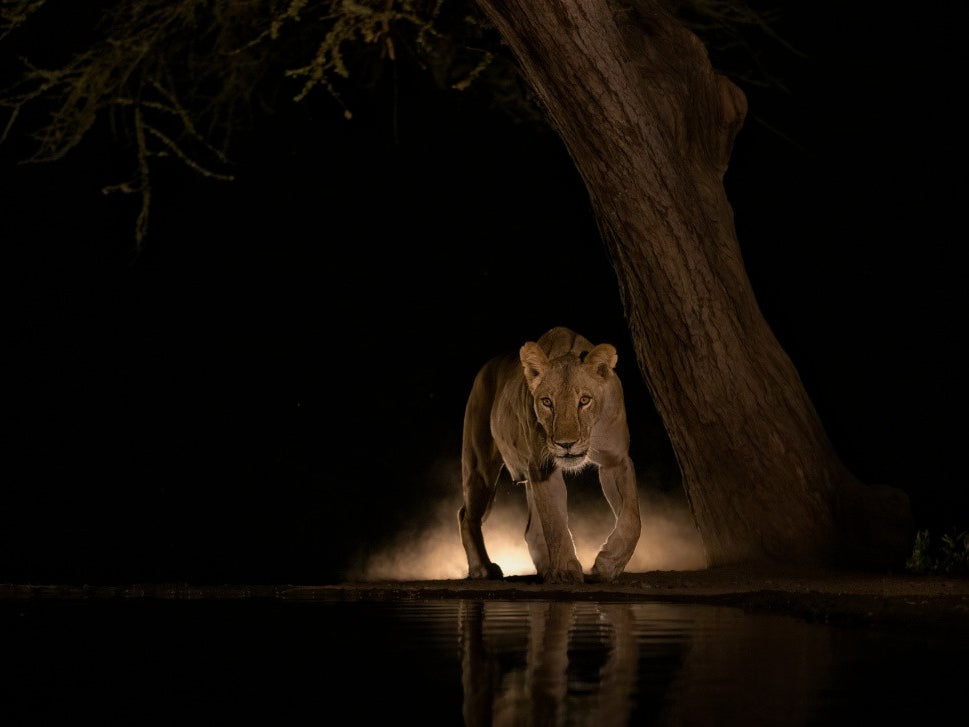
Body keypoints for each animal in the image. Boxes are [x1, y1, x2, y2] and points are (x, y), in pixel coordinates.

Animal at [458, 326, 641, 584]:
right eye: (547, 402)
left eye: (584, 400)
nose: (566, 444)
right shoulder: (542, 466)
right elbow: (555, 522)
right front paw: (565, 572)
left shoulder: (616, 461)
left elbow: (633, 519)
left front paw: (607, 565)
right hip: (480, 468)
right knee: (466, 515)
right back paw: (482, 568)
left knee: (531, 530)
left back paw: (545, 568)